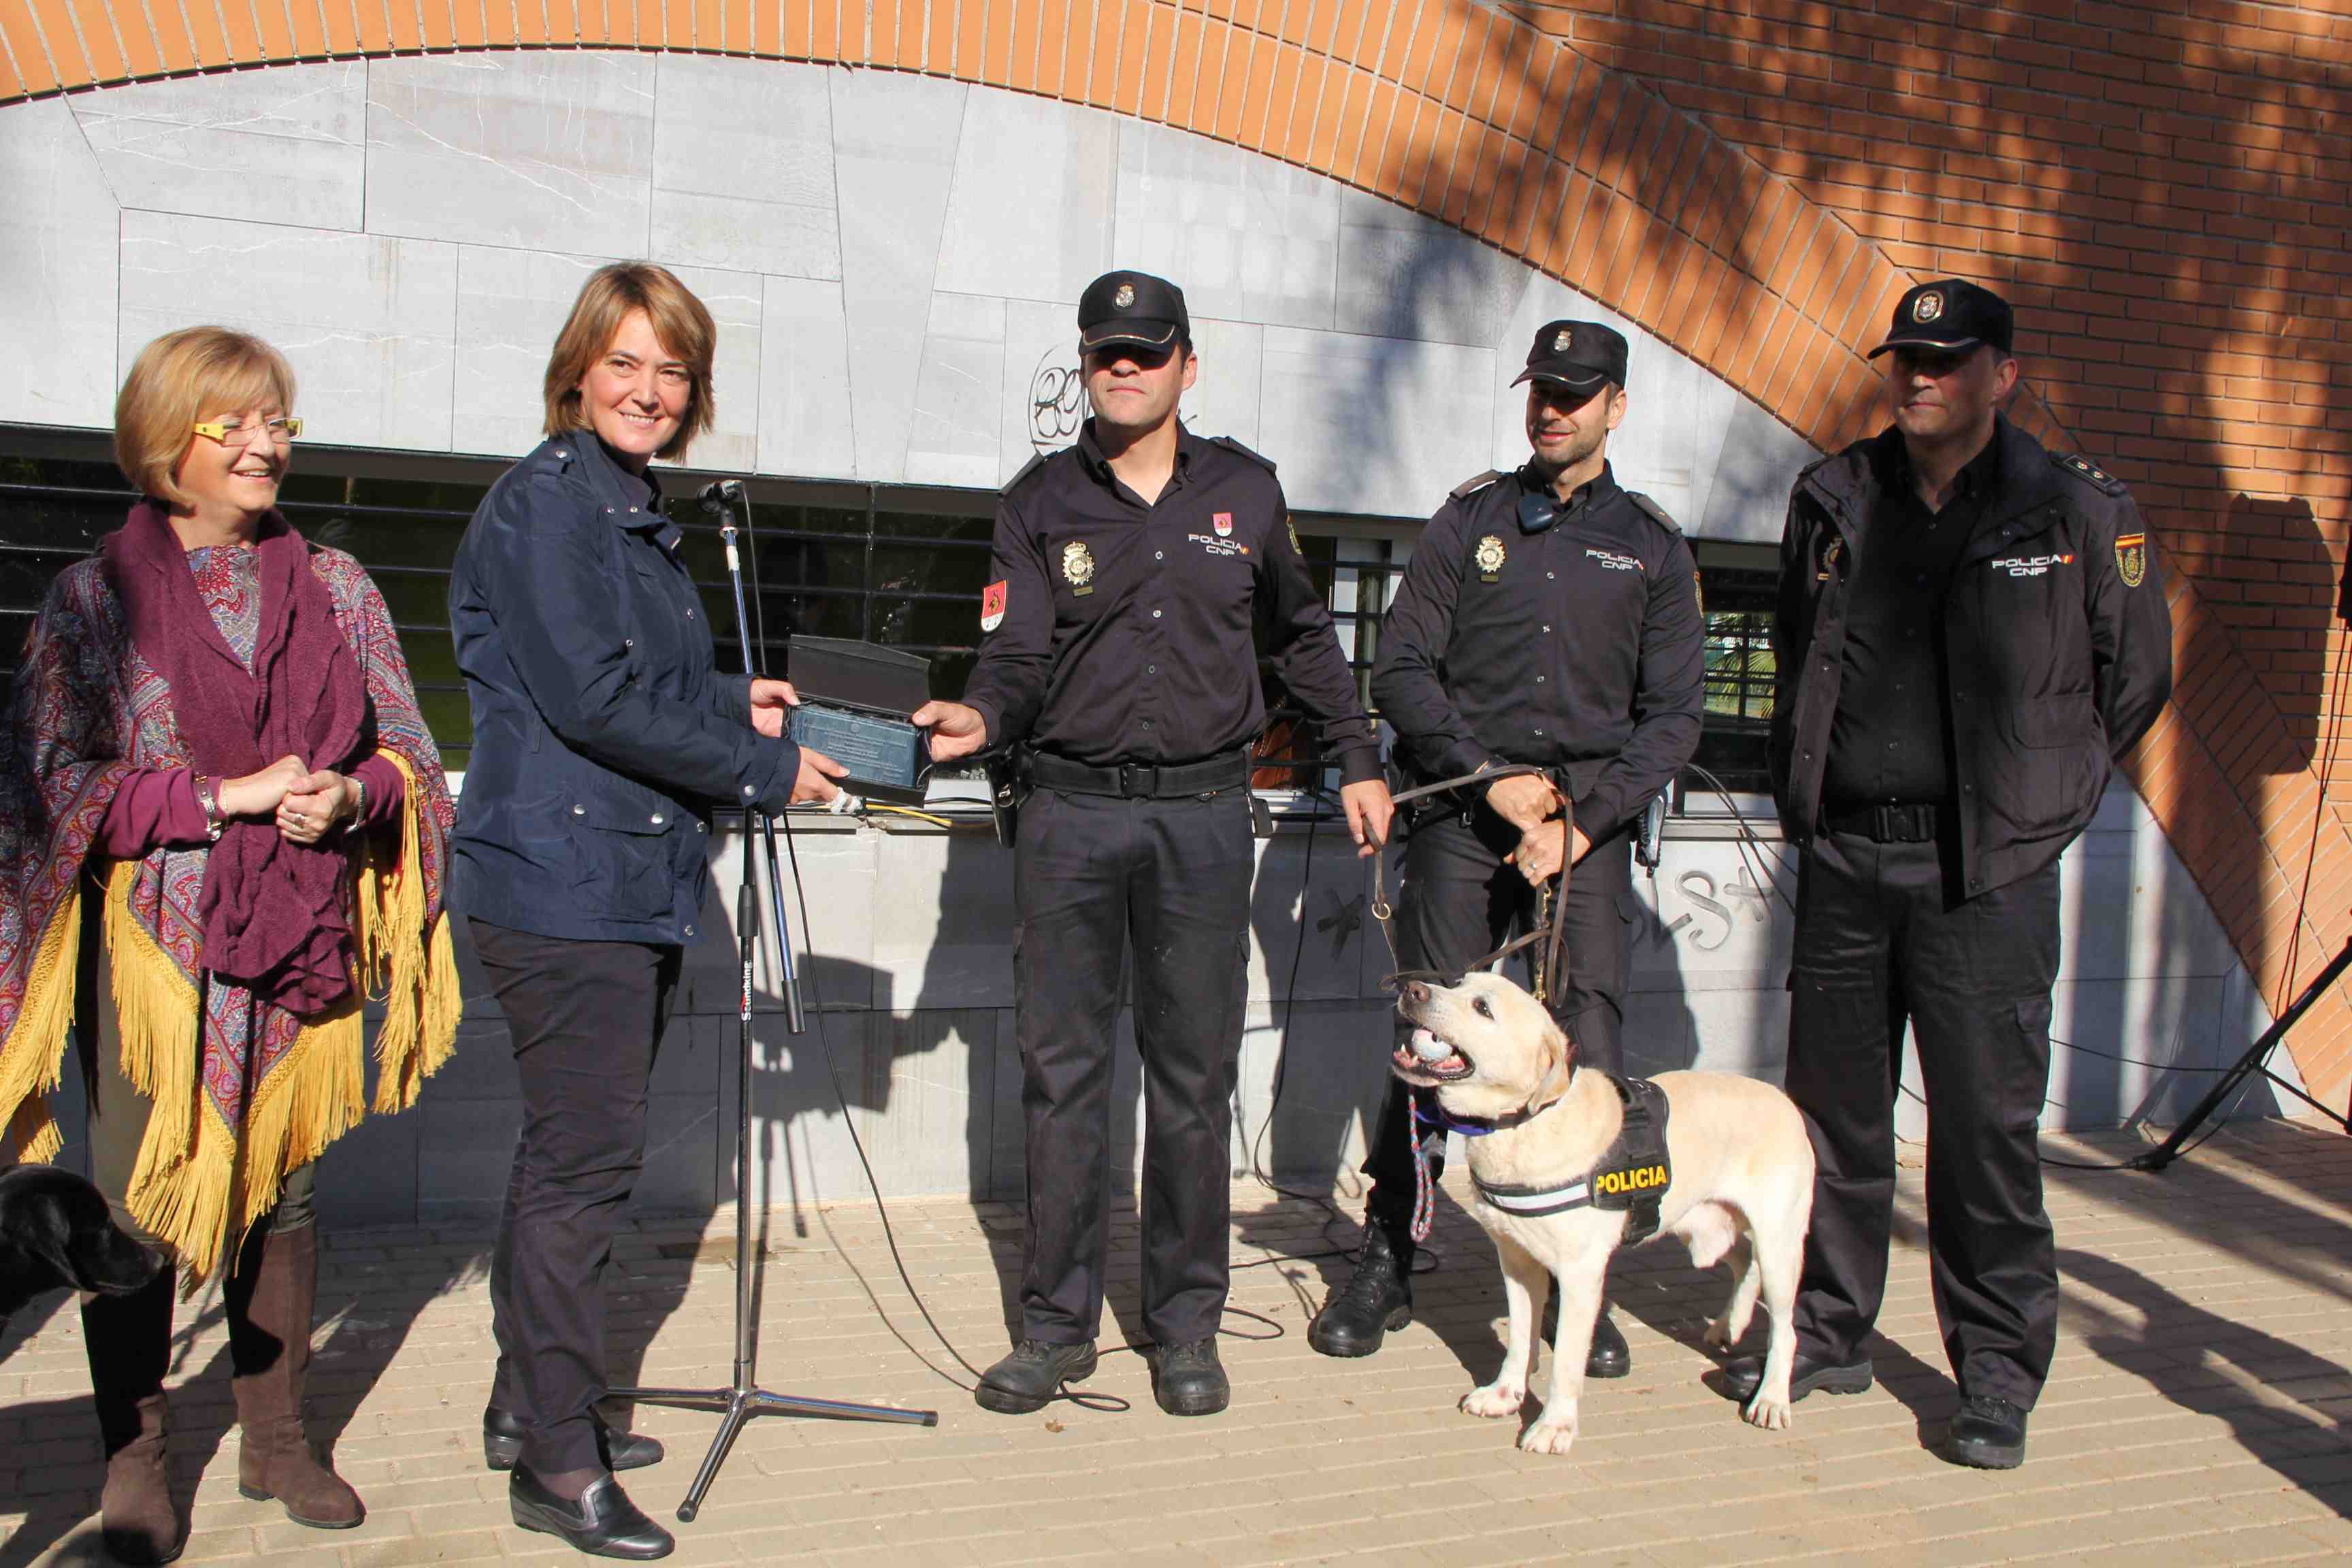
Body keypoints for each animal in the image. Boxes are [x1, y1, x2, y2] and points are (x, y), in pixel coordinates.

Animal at [1392, 968, 1816, 1457]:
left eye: (1483, 1008)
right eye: (1458, 982)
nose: (1411, 989)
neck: (1522, 1124)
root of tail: (1785, 1100)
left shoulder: (1579, 1273)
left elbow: (1566, 1361)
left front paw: (1555, 1426)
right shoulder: (1517, 1261)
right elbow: (1519, 1339)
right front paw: (1505, 1394)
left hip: (1779, 1244)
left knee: (1785, 1326)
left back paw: (1771, 1397)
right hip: (1703, 1226)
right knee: (1744, 1262)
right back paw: (1730, 1325)